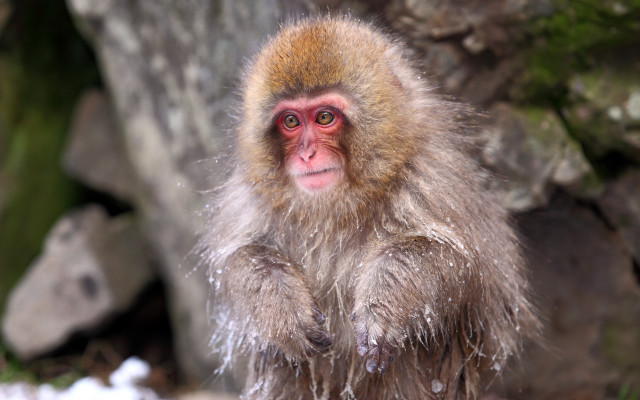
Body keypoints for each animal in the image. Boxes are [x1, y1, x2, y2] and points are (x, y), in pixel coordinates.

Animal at [197, 16, 539, 400]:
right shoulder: (252, 194)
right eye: (291, 122)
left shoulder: (432, 181)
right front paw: (281, 309)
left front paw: (383, 309)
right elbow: (238, 258)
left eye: (325, 117)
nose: (306, 154)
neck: (339, 204)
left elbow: (459, 264)